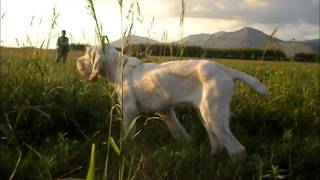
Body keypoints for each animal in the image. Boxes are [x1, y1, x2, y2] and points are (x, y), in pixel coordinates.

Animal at [77, 45, 270, 160]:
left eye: (86, 54)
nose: (76, 62)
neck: (120, 68)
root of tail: (225, 70)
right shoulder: (165, 110)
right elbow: (177, 129)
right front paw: (185, 143)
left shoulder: (130, 111)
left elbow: (129, 133)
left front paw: (126, 147)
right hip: (205, 113)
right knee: (218, 141)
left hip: (214, 114)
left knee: (237, 149)